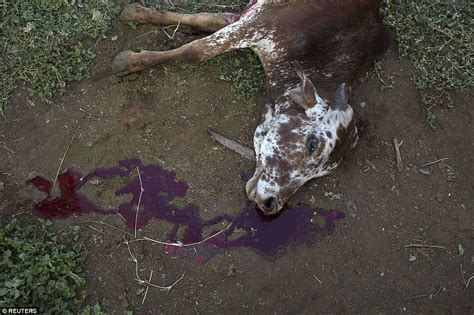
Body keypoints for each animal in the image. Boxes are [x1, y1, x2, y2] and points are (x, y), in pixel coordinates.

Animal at [111, 0, 388, 216]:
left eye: (322, 174)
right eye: (312, 144)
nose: (271, 205)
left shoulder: (250, 19)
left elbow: (205, 20)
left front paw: (136, 15)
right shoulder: (259, 23)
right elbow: (197, 50)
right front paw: (130, 60)